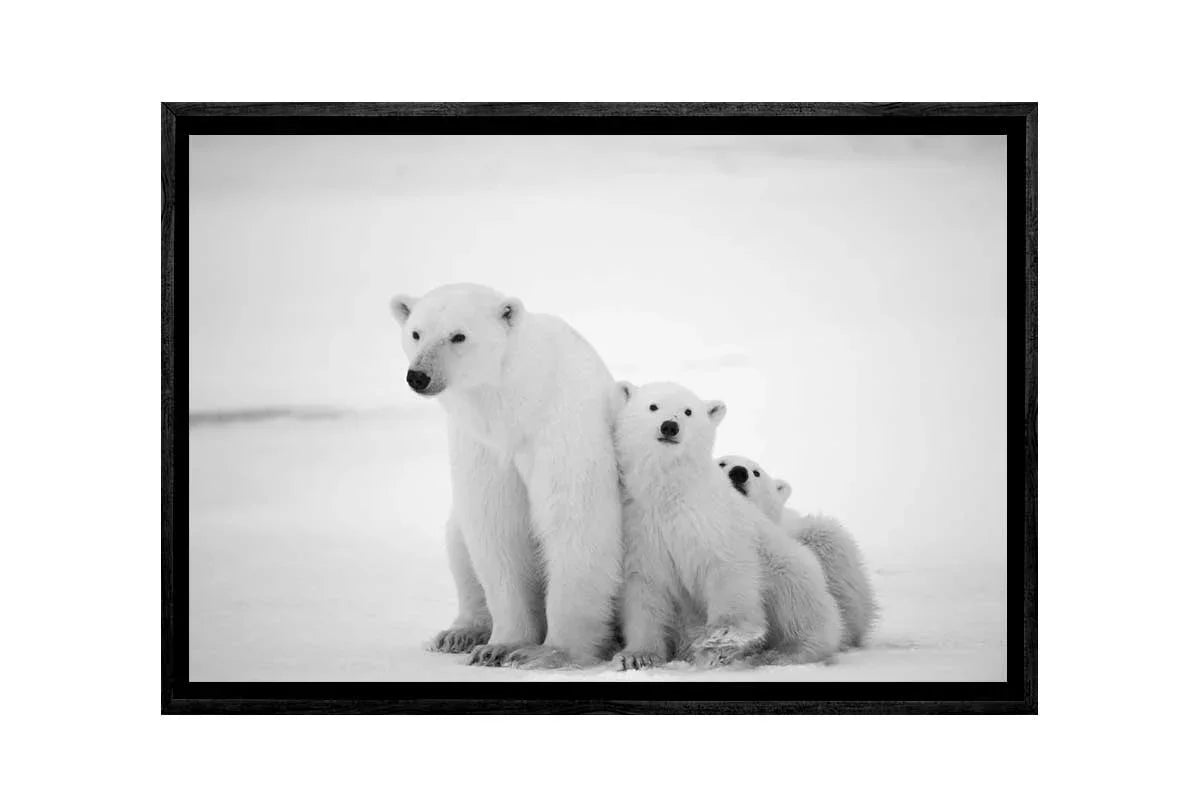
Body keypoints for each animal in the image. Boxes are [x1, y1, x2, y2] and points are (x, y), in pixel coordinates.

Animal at [390, 283, 624, 668]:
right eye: (416, 333)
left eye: (459, 335)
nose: (419, 376)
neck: (516, 406)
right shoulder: (482, 445)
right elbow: (496, 528)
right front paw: (499, 646)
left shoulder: (562, 428)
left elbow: (575, 522)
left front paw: (548, 653)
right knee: (457, 541)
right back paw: (459, 633)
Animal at [611, 381, 842, 670]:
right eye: (653, 406)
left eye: (688, 411)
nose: (669, 426)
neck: (670, 493)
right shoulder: (641, 529)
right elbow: (645, 589)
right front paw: (636, 656)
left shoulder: (712, 520)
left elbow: (727, 568)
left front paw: (723, 635)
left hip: (788, 565)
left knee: (797, 602)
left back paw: (784, 652)